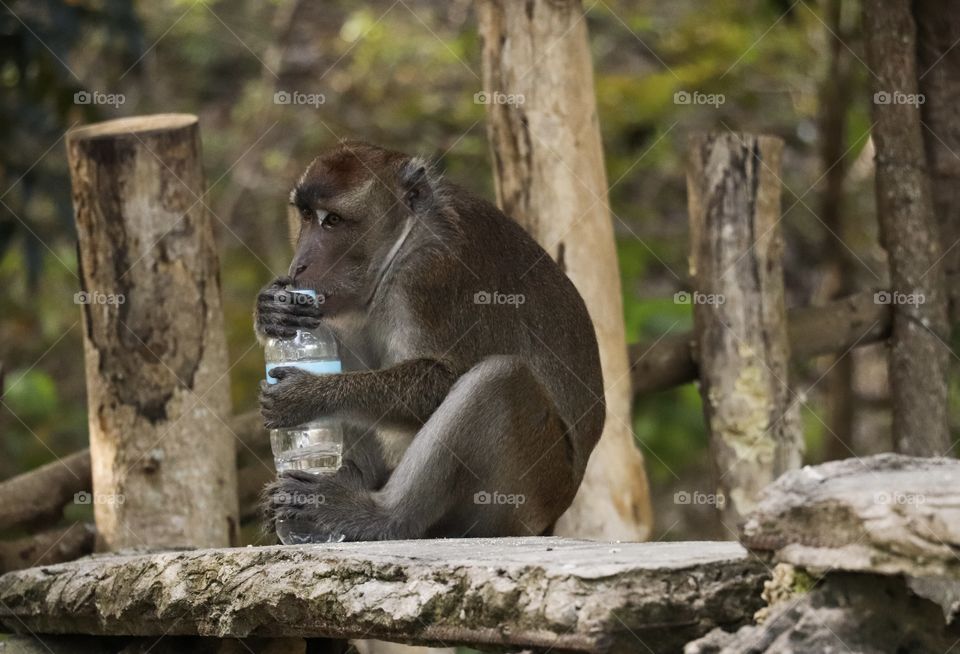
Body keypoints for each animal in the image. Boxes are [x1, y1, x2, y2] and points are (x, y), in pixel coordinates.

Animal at [257, 140, 605, 541]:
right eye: (307, 215)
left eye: (333, 221)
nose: (299, 265)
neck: (405, 241)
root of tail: (553, 517)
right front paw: (272, 311)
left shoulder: (429, 274)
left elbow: (442, 377)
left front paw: (309, 395)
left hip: (527, 496)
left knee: (500, 379)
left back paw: (377, 515)